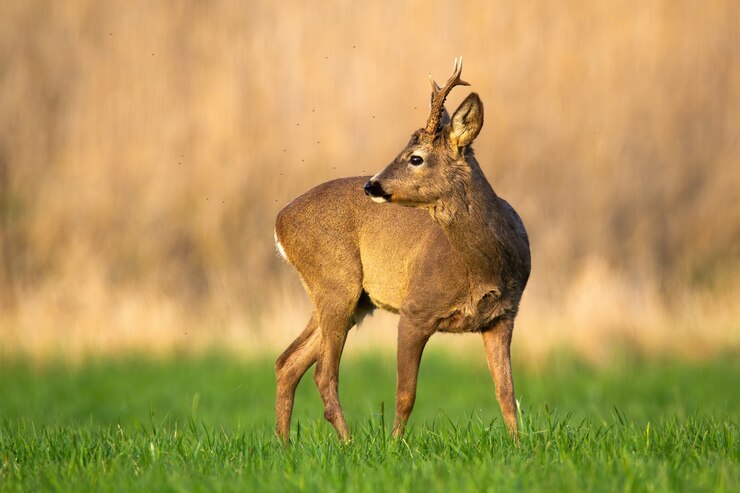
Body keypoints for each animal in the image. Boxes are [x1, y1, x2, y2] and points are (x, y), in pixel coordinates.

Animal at [274, 58, 528, 442]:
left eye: (416, 158)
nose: (372, 185)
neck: (483, 267)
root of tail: (279, 220)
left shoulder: (503, 315)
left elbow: (506, 393)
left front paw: (519, 445)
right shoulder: (414, 310)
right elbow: (405, 395)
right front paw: (394, 446)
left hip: (351, 300)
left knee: (287, 362)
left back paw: (284, 445)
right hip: (336, 283)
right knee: (323, 372)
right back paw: (348, 444)